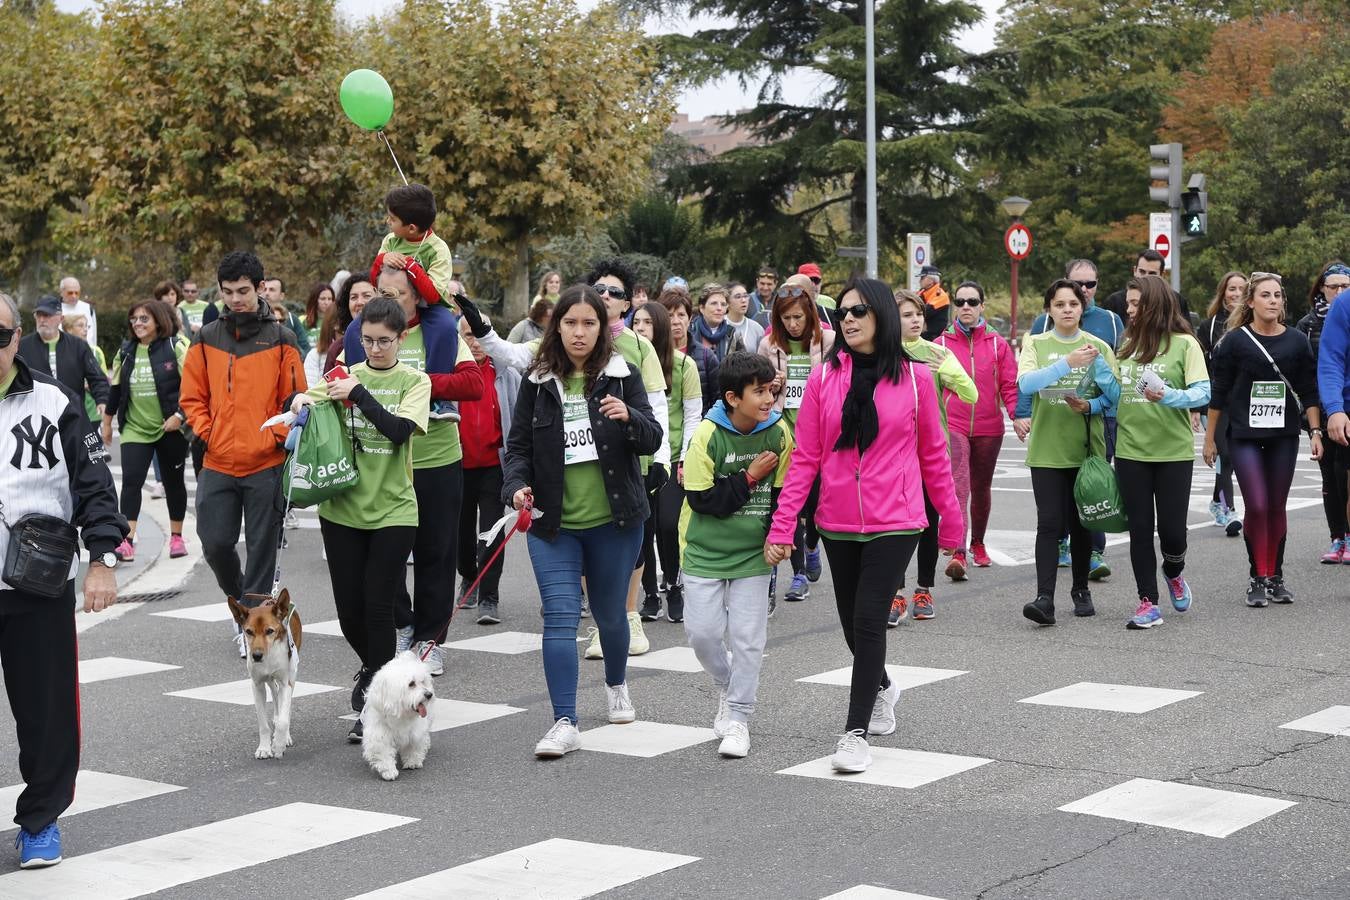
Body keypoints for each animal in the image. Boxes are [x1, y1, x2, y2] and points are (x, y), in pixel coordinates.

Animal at [229, 591, 303, 761]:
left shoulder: (286, 682)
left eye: (270, 631)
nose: (256, 656)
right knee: (275, 694)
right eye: (249, 631)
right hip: (269, 680)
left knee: (285, 707)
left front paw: (278, 744)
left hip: (293, 673)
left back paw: (284, 736)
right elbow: (263, 724)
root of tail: (273, 599)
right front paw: (264, 748)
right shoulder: (257, 685)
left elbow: (284, 719)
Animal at [361, 647, 434, 782]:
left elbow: (413, 745)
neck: (401, 714)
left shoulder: (415, 731)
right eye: (411, 684)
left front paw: (412, 761)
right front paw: (389, 771)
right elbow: (383, 752)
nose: (429, 694)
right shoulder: (380, 733)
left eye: (423, 682)